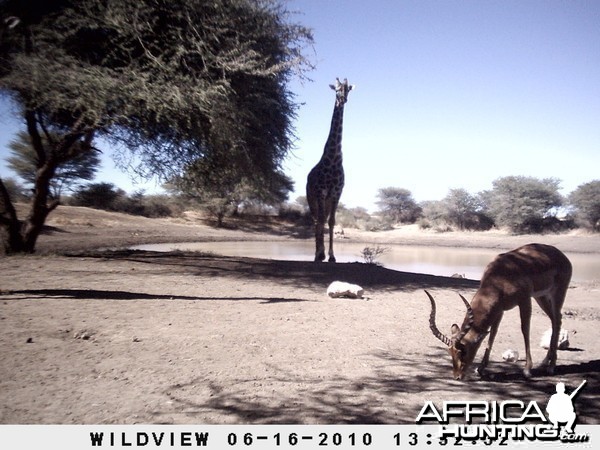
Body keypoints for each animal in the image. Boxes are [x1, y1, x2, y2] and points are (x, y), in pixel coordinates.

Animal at [308, 76, 354, 260]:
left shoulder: (336, 192)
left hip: (327, 201)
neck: (334, 159)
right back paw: (316, 252)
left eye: (347, 89)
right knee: (316, 220)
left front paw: (332, 256)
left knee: (322, 219)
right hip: (312, 198)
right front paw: (320, 253)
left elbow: (332, 221)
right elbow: (321, 220)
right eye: (336, 89)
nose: (342, 99)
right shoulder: (321, 192)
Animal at [426, 243, 572, 380]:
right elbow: (493, 333)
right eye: (450, 352)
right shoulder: (499, 309)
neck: (499, 277)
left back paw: (551, 366)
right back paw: (545, 362)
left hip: (557, 293)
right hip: (541, 297)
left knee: (557, 320)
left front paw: (527, 369)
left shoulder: (524, 300)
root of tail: (561, 255)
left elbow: (525, 329)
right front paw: (480, 368)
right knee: (554, 320)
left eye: (464, 351)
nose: (457, 376)